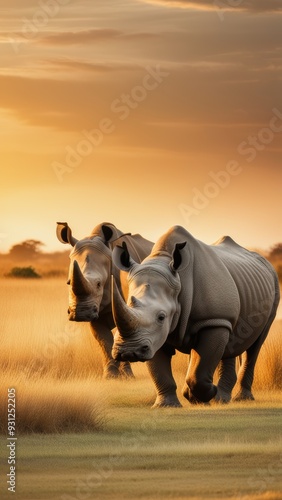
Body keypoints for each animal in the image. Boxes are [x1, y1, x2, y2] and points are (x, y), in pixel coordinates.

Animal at [56, 223, 153, 378]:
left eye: (99, 284)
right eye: (68, 282)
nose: (80, 314)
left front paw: (127, 376)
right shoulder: (97, 313)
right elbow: (104, 340)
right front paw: (111, 376)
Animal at [112, 225, 280, 404]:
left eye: (161, 317)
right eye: (129, 305)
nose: (128, 351)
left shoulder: (213, 320)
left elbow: (199, 370)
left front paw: (203, 394)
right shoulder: (153, 336)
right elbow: (159, 369)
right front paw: (168, 404)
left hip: (272, 286)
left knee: (255, 345)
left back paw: (238, 398)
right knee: (231, 338)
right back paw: (219, 398)